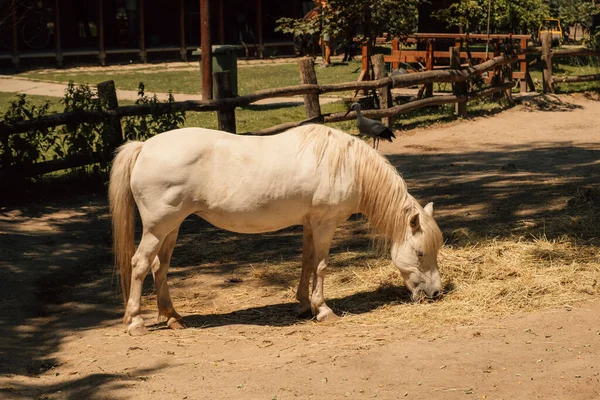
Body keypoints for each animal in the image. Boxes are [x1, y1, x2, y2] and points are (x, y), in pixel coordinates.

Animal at [110, 124, 442, 334]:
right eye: (420, 252)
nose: (436, 293)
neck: (347, 165)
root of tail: (144, 147)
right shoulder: (325, 224)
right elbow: (322, 266)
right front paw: (323, 310)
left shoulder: (310, 224)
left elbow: (307, 262)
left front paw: (304, 305)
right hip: (158, 227)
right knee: (140, 265)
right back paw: (136, 323)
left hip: (172, 228)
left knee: (160, 266)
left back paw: (173, 318)